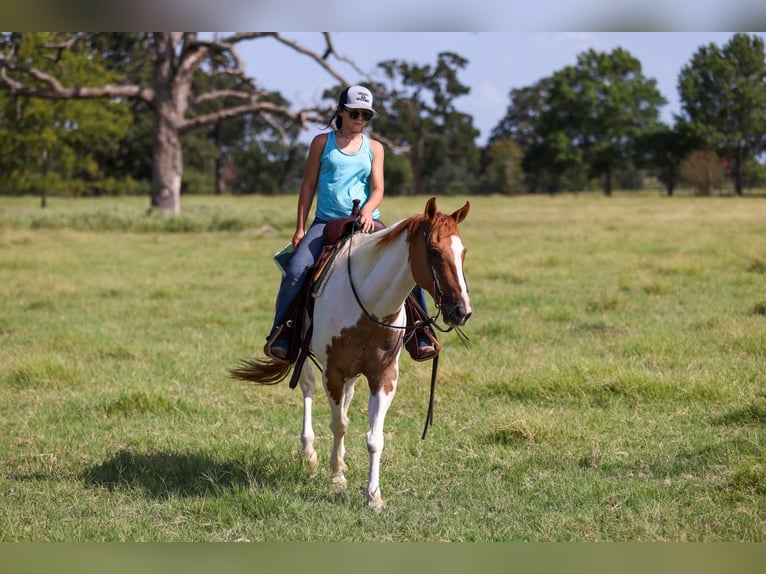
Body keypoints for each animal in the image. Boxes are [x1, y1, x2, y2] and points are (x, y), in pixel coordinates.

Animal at [230, 196, 472, 510]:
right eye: (433, 251)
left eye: (462, 252)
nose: (462, 311)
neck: (370, 304)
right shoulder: (332, 372)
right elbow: (338, 424)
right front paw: (336, 476)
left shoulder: (384, 376)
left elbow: (374, 437)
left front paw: (373, 495)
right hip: (303, 357)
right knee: (308, 389)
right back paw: (309, 452)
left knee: (347, 398)